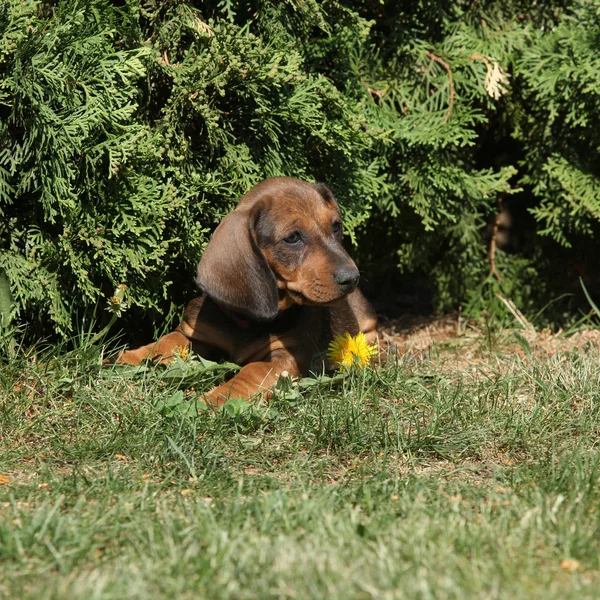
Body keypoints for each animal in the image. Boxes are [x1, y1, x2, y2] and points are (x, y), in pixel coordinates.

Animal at [117, 176, 378, 406]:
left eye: (336, 227)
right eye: (293, 238)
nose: (352, 278)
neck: (248, 320)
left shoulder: (286, 356)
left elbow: (250, 372)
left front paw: (217, 399)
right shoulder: (194, 333)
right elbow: (164, 342)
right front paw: (125, 358)